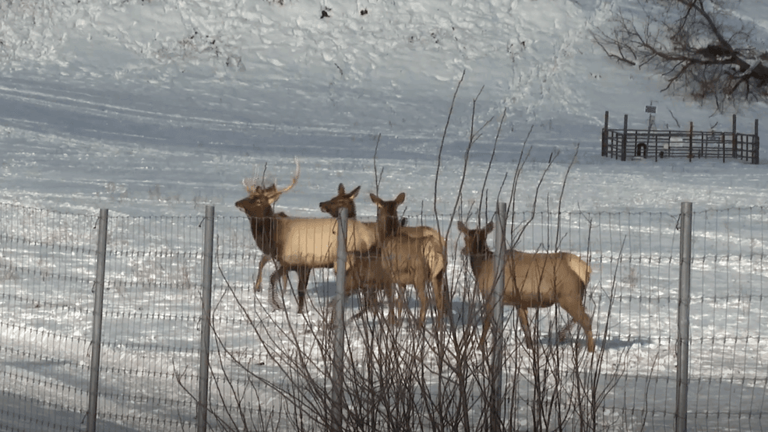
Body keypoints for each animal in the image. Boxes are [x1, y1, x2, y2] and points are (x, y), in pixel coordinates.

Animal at [235, 160, 378, 313]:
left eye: (257, 200)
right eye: (248, 196)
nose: (237, 203)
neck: (275, 236)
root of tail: (371, 235)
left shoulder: (303, 262)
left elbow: (300, 290)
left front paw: (298, 312)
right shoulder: (289, 263)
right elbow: (273, 278)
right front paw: (277, 304)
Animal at [457, 221, 595, 352]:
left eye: (483, 237)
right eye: (465, 237)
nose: (465, 251)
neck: (484, 267)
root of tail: (586, 270)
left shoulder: (491, 295)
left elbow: (486, 323)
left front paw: (479, 347)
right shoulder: (519, 301)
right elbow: (525, 327)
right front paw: (530, 348)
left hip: (569, 294)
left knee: (586, 320)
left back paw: (590, 350)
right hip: (572, 296)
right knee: (583, 316)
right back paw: (563, 336)